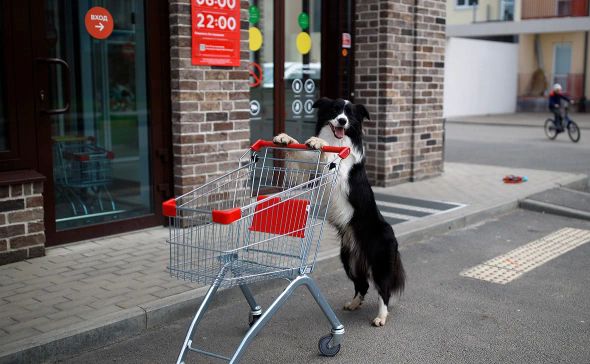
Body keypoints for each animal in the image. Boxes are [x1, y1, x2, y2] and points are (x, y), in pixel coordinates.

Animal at [274, 97, 408, 328]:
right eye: (335, 109)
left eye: (351, 114)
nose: (343, 121)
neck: (337, 141)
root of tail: (393, 235)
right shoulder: (310, 175)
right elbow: (302, 155)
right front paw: (285, 138)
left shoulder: (339, 174)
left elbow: (328, 156)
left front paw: (317, 143)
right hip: (349, 261)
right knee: (362, 285)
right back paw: (354, 304)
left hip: (380, 263)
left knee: (383, 290)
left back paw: (381, 316)